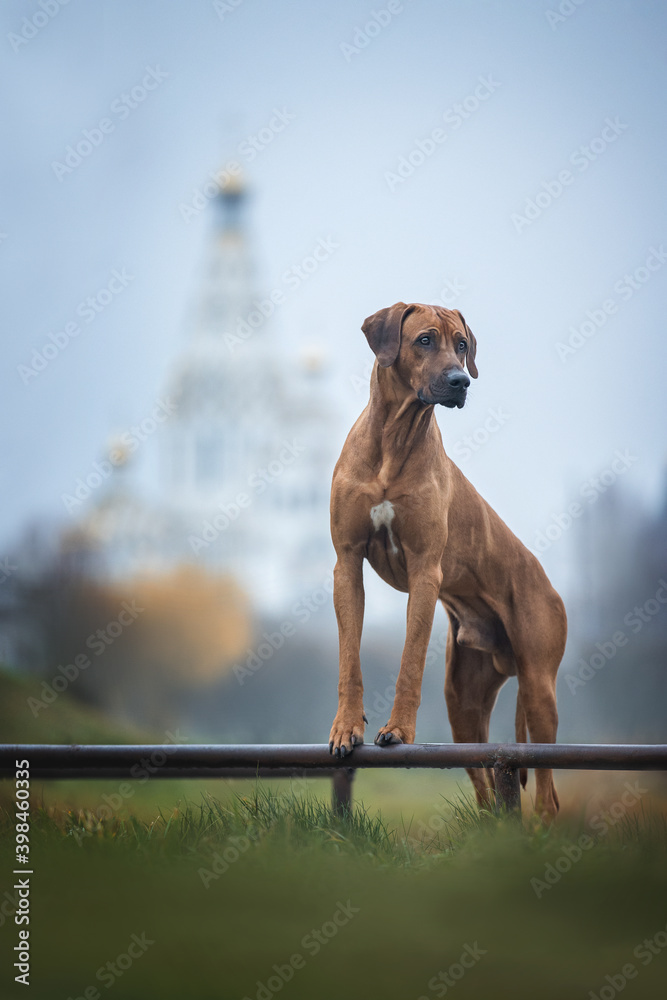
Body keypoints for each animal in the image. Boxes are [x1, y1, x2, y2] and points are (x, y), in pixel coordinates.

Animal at [328, 300, 568, 816]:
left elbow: (410, 659)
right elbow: (349, 660)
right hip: (463, 703)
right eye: (424, 340)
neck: (393, 439)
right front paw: (345, 728)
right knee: (484, 783)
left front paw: (398, 731)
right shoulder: (346, 564)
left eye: (461, 344)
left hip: (539, 684)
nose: (462, 381)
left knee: (546, 789)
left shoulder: (424, 570)